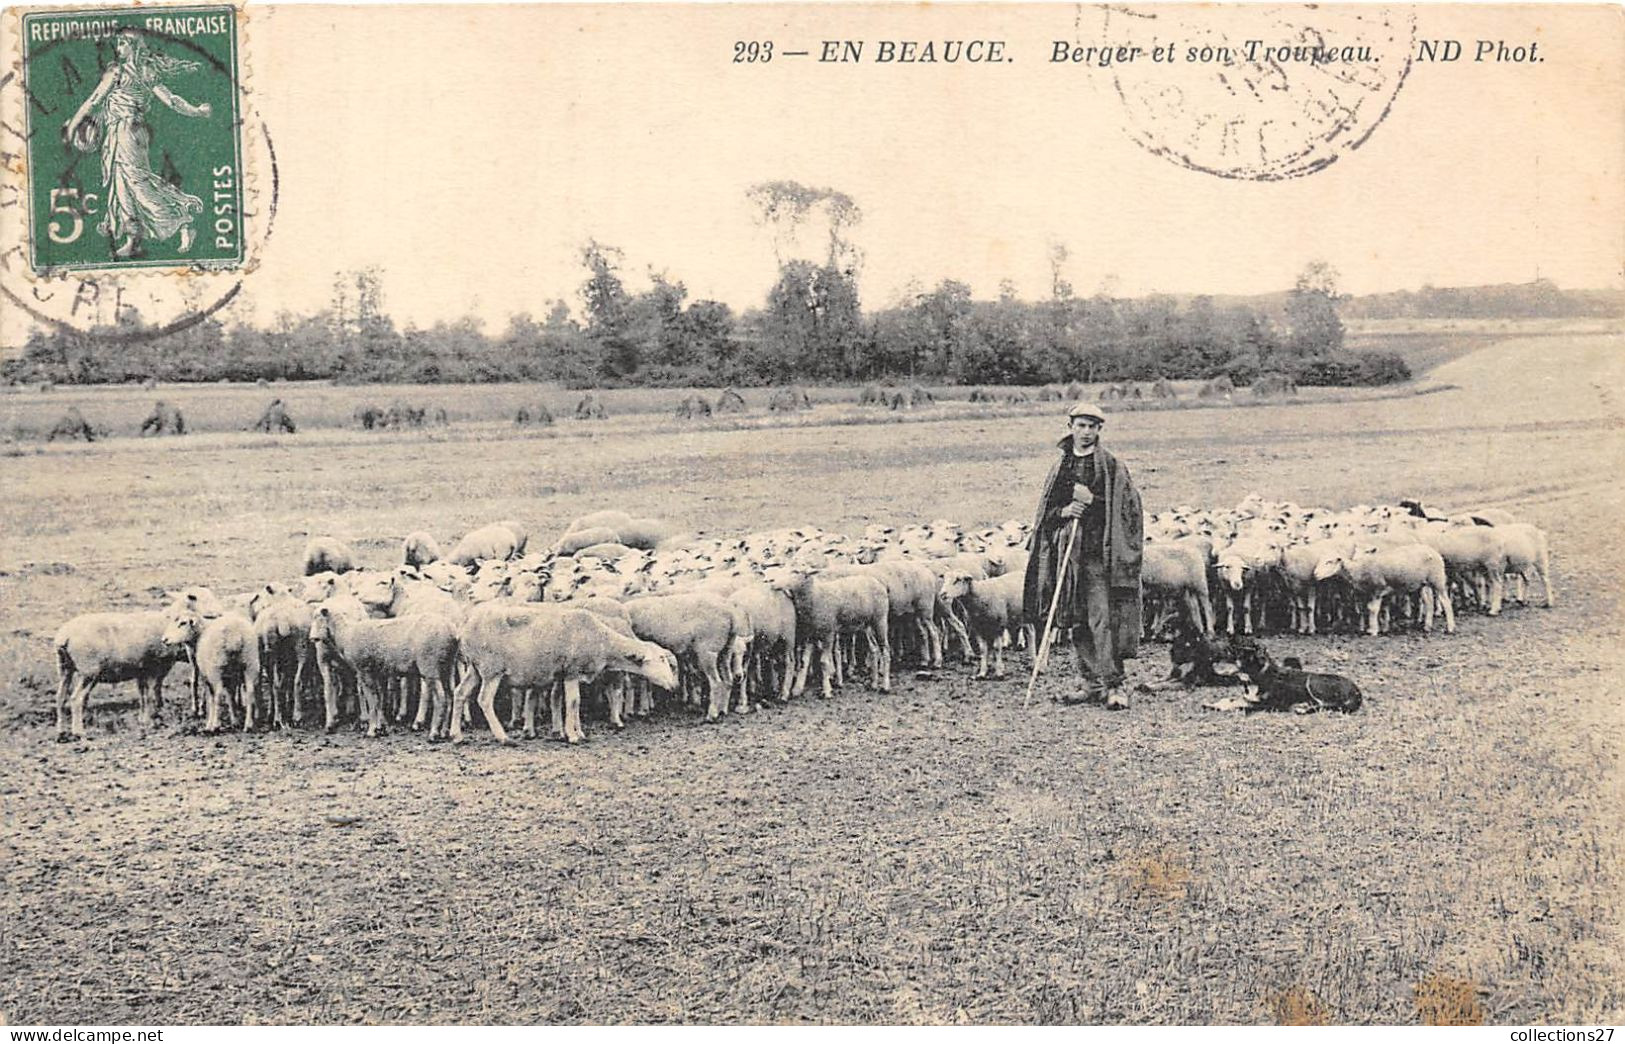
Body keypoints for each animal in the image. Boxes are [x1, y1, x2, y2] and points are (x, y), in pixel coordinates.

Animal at [54, 611, 188, 741]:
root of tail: (64, 636)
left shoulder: (141, 673)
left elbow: (143, 695)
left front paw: (143, 720)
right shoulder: (154, 669)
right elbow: (152, 693)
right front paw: (152, 719)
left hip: (65, 668)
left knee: (60, 697)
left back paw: (61, 733)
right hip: (88, 672)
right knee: (76, 699)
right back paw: (79, 733)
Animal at [1209, 637, 1358, 712]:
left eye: (1243, 645)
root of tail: (1357, 692)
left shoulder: (1270, 703)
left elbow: (1241, 704)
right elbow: (1233, 699)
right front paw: (1213, 704)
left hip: (1313, 682)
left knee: (1324, 705)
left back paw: (1301, 707)